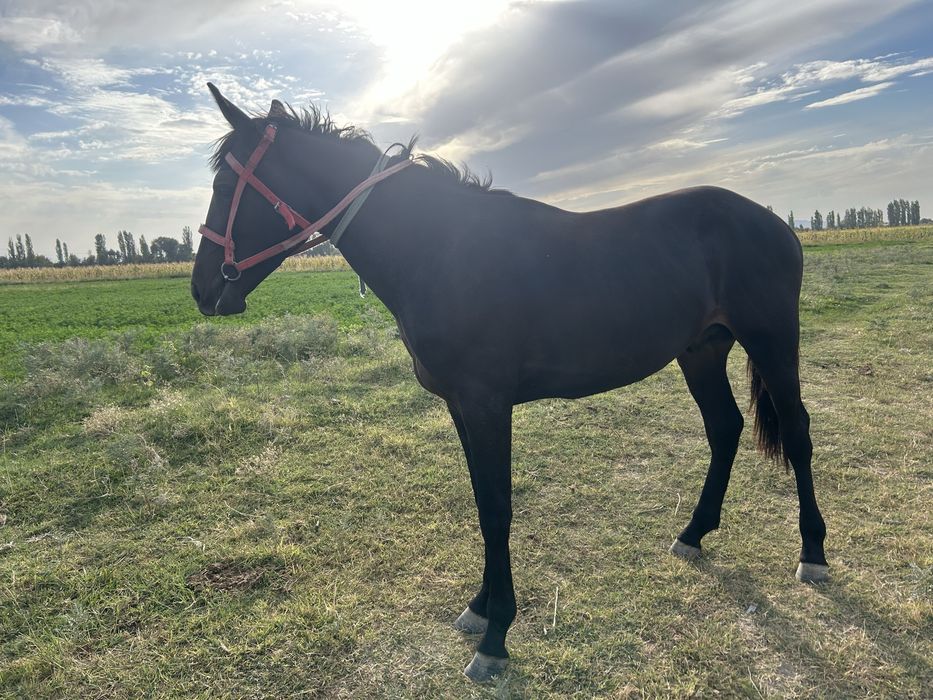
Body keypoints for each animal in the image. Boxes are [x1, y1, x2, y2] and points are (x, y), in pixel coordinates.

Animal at [191, 83, 828, 682]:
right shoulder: (461, 407)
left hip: (772, 340)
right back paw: (694, 533)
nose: (202, 290)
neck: (439, 250)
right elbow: (481, 502)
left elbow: (497, 509)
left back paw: (813, 554)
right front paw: (479, 607)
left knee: (797, 434)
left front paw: (495, 638)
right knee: (724, 429)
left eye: (224, 185)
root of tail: (773, 221)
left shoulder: (487, 404)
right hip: (701, 352)